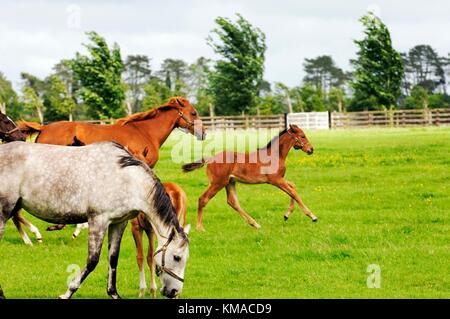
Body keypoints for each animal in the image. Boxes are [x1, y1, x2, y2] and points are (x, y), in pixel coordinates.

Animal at [181, 124, 318, 231]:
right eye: (302, 136)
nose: (311, 149)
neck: (275, 155)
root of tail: (210, 158)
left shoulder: (279, 179)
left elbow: (293, 187)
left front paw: (286, 215)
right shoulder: (275, 180)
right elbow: (293, 192)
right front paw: (312, 216)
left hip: (229, 182)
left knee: (232, 202)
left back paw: (255, 224)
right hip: (218, 183)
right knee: (203, 199)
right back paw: (199, 227)